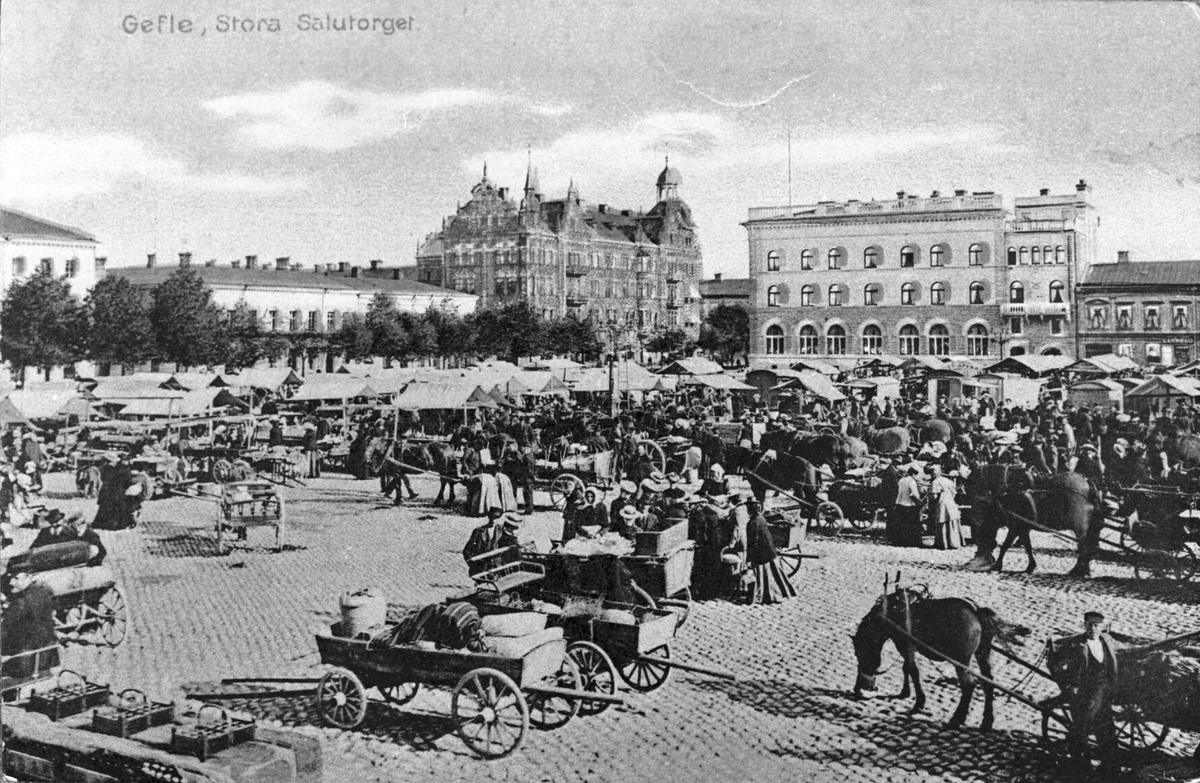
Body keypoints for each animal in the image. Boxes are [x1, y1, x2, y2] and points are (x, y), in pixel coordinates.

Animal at [849, 586, 1027, 730]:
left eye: (859, 653)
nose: (857, 689)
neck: (891, 612)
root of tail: (976, 610)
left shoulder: (905, 645)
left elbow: (912, 670)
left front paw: (919, 702)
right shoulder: (906, 647)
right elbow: (906, 668)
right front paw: (905, 692)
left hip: (961, 660)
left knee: (969, 685)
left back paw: (956, 719)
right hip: (982, 654)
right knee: (988, 682)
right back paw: (987, 722)